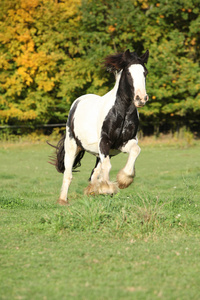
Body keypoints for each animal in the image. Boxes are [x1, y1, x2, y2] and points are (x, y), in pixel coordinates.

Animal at [50, 49, 149, 205]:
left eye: (145, 72)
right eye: (128, 73)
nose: (141, 98)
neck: (122, 113)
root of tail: (78, 101)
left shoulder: (123, 143)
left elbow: (135, 150)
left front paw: (123, 181)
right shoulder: (105, 142)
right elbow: (107, 166)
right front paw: (107, 188)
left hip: (97, 152)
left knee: (94, 172)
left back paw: (92, 191)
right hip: (72, 145)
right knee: (68, 173)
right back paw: (63, 200)